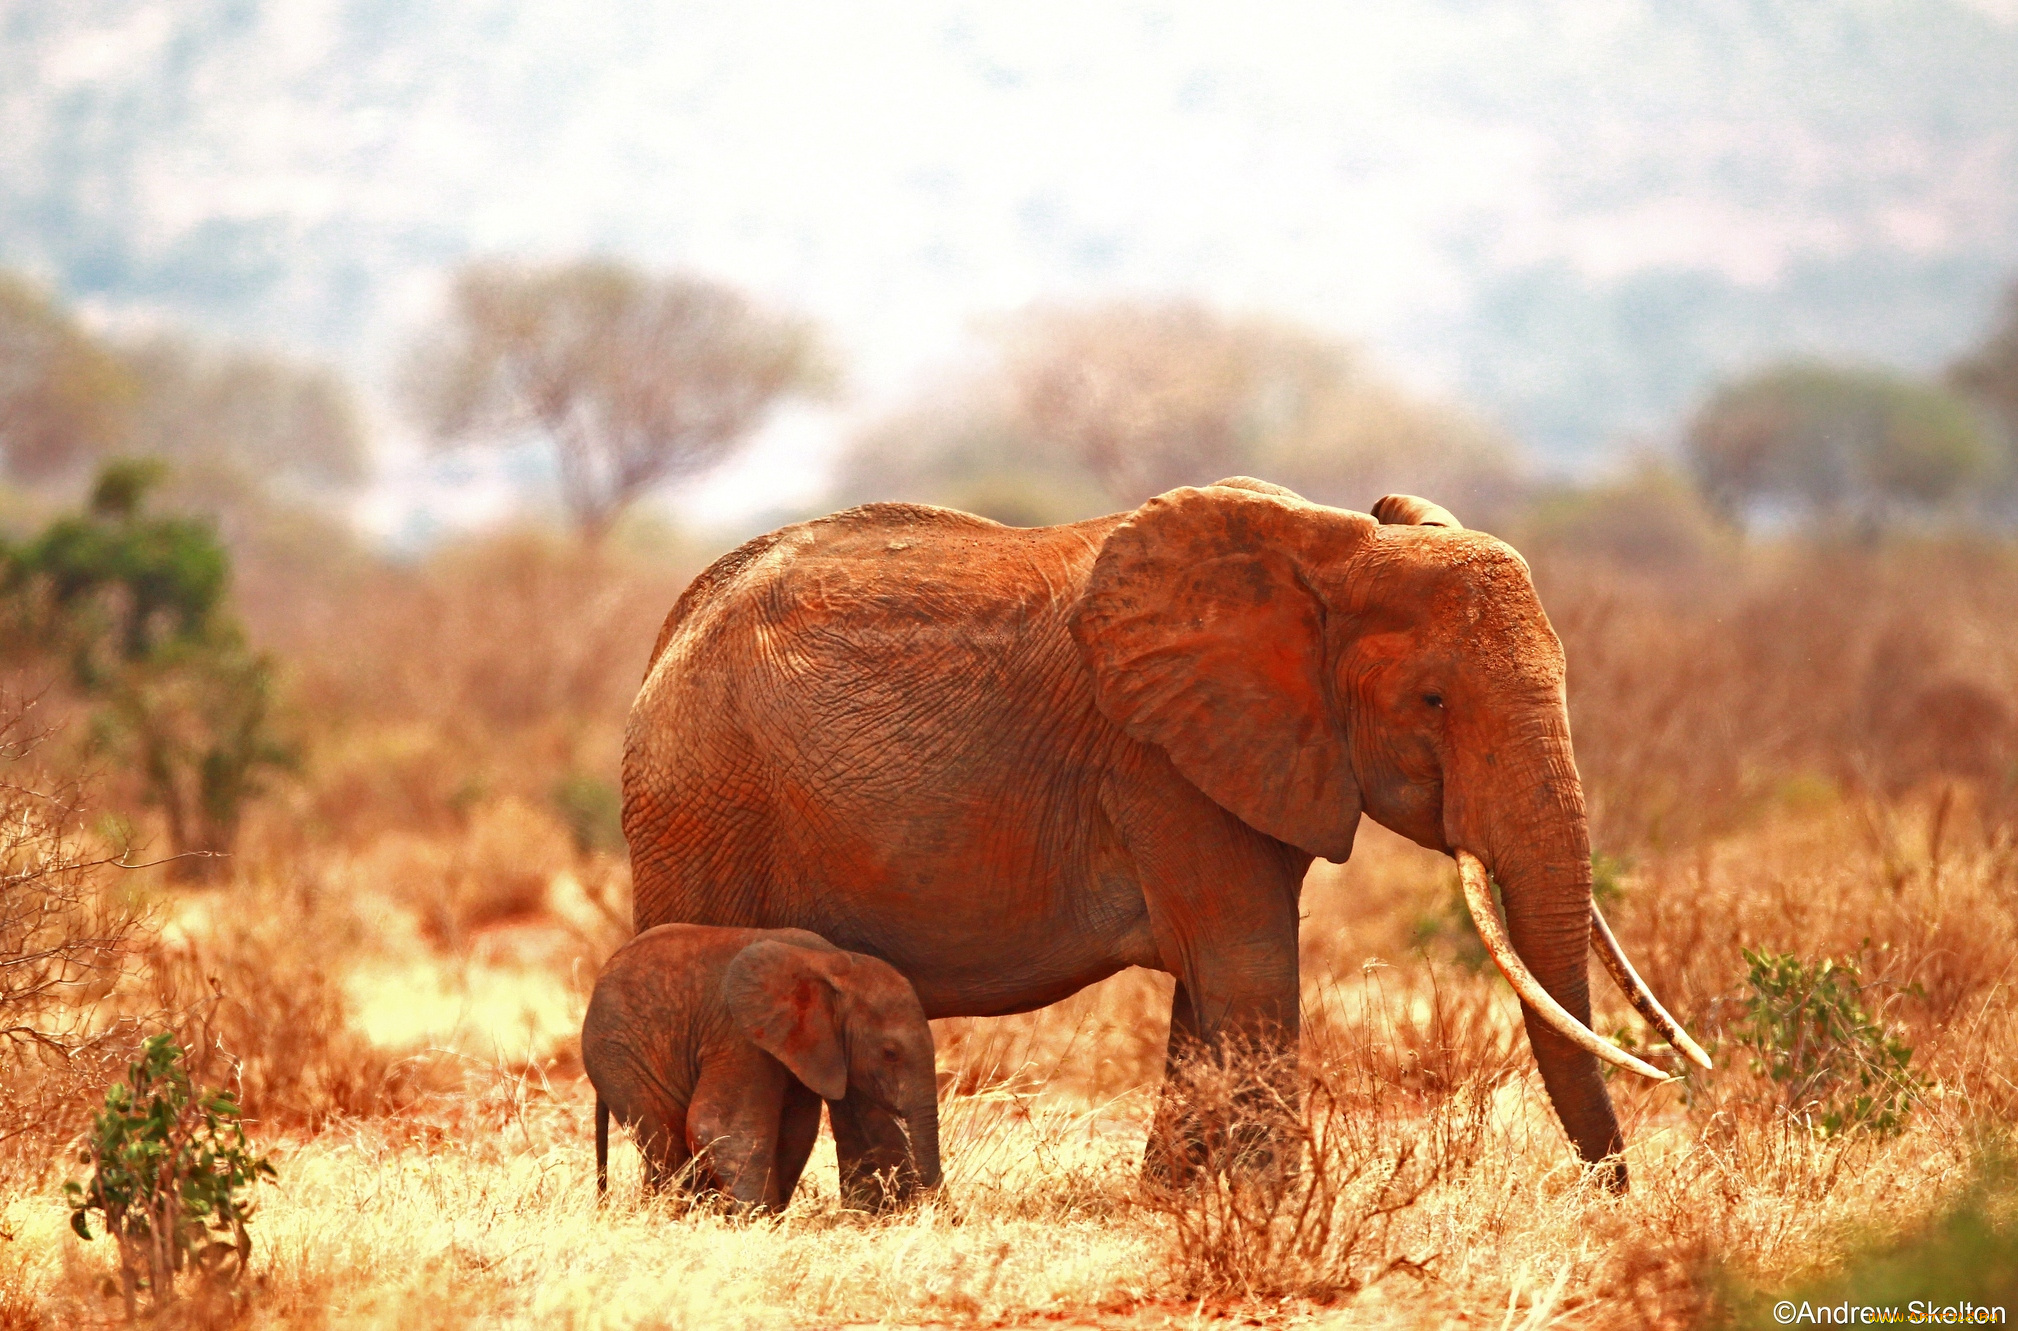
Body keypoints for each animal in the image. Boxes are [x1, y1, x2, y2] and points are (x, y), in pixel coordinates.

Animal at [577, 919, 936, 1210]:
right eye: (890, 1053)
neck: (832, 962)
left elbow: (795, 1133)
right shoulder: (739, 1035)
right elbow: (721, 1129)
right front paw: (753, 1221)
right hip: (617, 1055)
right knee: (666, 1143)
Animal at [625, 475, 1703, 1185]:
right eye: (1433, 700)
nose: (1609, 1196)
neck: (1327, 549)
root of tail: (669, 631)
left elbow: (1213, 978)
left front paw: (1174, 1200)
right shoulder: (1160, 765)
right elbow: (1246, 959)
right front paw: (1268, 1209)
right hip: (701, 805)